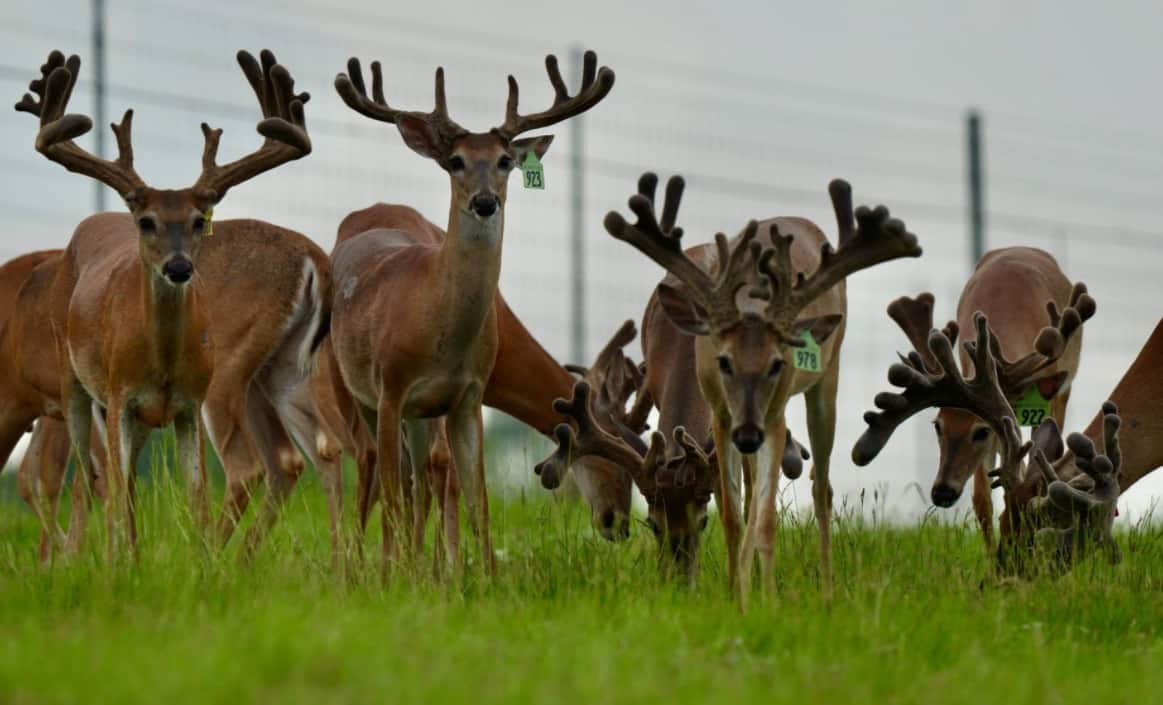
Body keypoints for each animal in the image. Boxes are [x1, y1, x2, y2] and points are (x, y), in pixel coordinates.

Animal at [13, 48, 311, 555]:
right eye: (147, 220)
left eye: (198, 220)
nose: (178, 267)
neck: (163, 364)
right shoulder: (118, 396)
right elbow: (114, 489)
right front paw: (119, 559)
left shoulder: (189, 403)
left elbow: (196, 497)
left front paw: (200, 558)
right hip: (74, 381)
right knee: (90, 476)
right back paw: (87, 555)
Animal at [328, 49, 614, 571]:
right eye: (455, 161)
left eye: (505, 161)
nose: (484, 201)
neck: (439, 331)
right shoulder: (391, 386)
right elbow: (394, 493)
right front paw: (390, 575)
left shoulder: (467, 395)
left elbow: (477, 497)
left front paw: (483, 577)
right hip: (355, 390)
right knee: (371, 468)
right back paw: (363, 568)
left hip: (419, 415)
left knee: (417, 477)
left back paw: (416, 567)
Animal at [592, 172, 921, 604]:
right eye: (652, 523)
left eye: (777, 363)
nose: (679, 581)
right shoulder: (719, 415)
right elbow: (734, 517)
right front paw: (737, 595)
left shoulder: (773, 414)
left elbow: (764, 519)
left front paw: (765, 599)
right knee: (752, 494)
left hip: (826, 379)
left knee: (821, 489)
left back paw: (827, 590)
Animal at [880, 247, 1093, 552]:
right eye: (937, 426)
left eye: (981, 430)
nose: (942, 492)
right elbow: (982, 499)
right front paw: (994, 554)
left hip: (1063, 392)